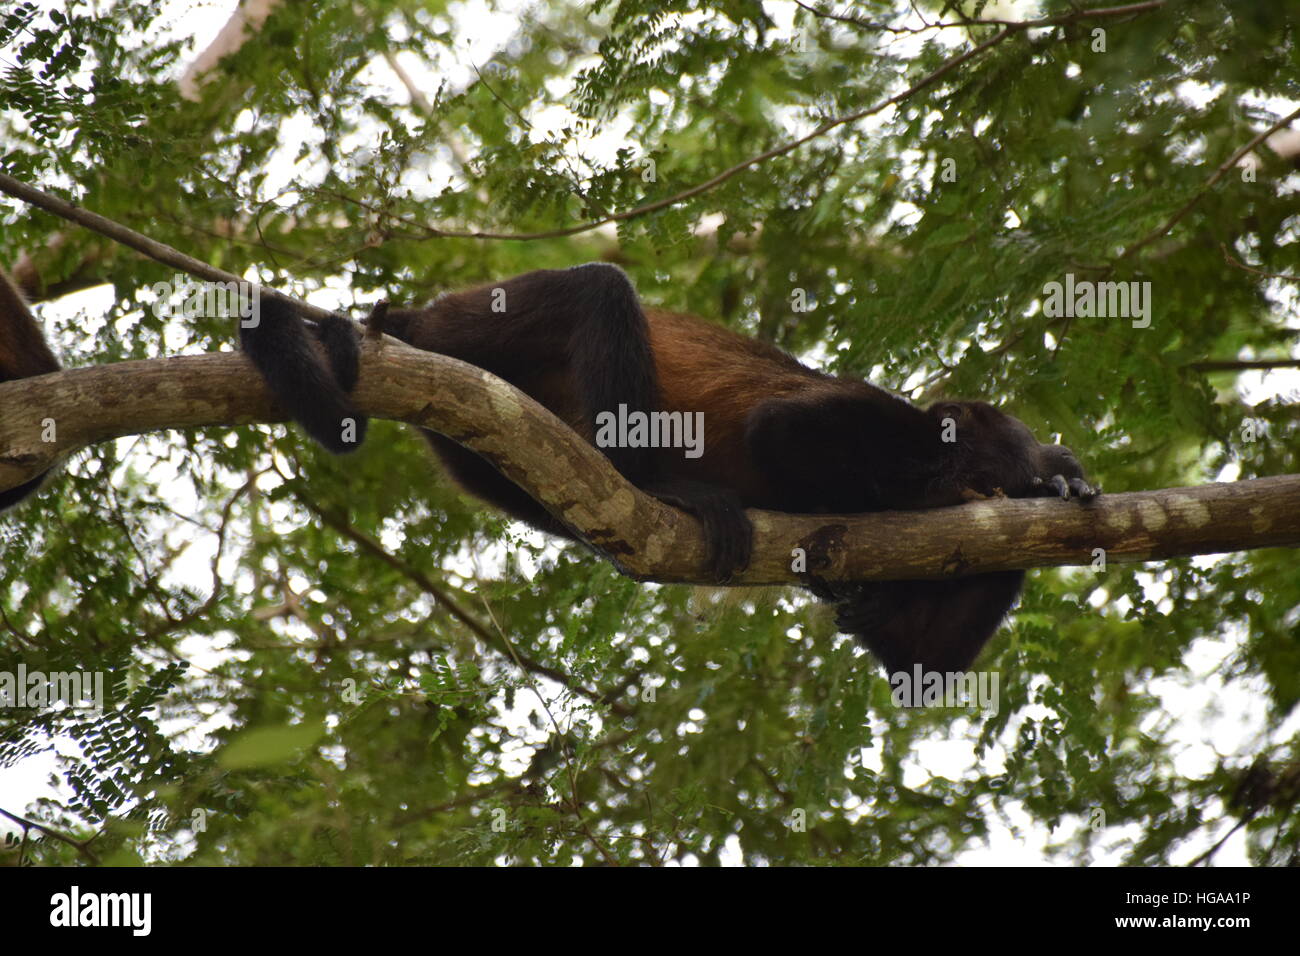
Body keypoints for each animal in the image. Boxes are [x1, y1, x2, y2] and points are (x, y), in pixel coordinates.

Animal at [241, 265, 1097, 676]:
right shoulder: (877, 413)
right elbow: (779, 430)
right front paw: (981, 481)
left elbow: (918, 657)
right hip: (477, 324)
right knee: (599, 289)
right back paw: (659, 486)